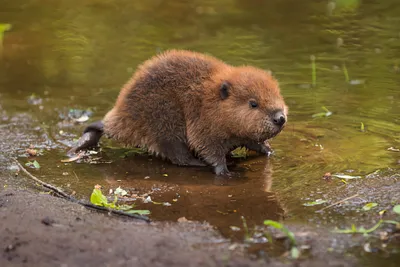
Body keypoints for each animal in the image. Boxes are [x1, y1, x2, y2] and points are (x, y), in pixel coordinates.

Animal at [69, 50, 288, 176]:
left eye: (278, 94)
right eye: (253, 103)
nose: (280, 118)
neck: (210, 100)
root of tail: (118, 116)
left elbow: (253, 141)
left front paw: (269, 150)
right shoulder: (202, 120)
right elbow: (206, 145)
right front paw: (225, 171)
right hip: (164, 117)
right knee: (176, 153)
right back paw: (199, 163)